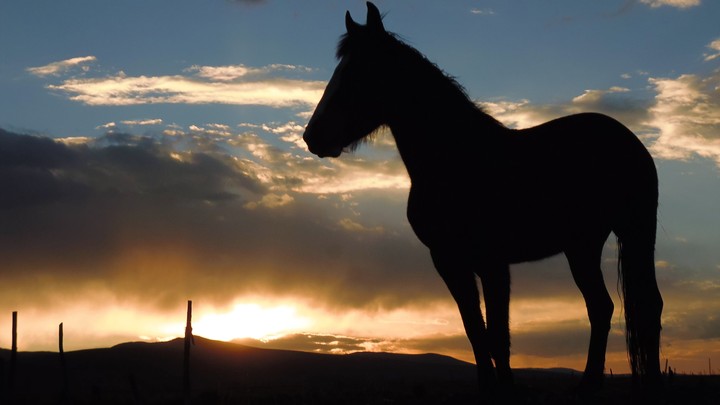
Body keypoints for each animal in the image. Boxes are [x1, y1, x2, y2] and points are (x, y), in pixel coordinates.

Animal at [303, 1, 663, 399]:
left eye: (359, 73)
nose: (312, 136)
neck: (458, 158)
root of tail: (628, 139)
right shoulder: (449, 262)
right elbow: (476, 333)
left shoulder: (492, 263)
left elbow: (497, 336)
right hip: (582, 246)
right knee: (601, 308)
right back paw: (588, 386)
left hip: (634, 232)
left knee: (645, 306)